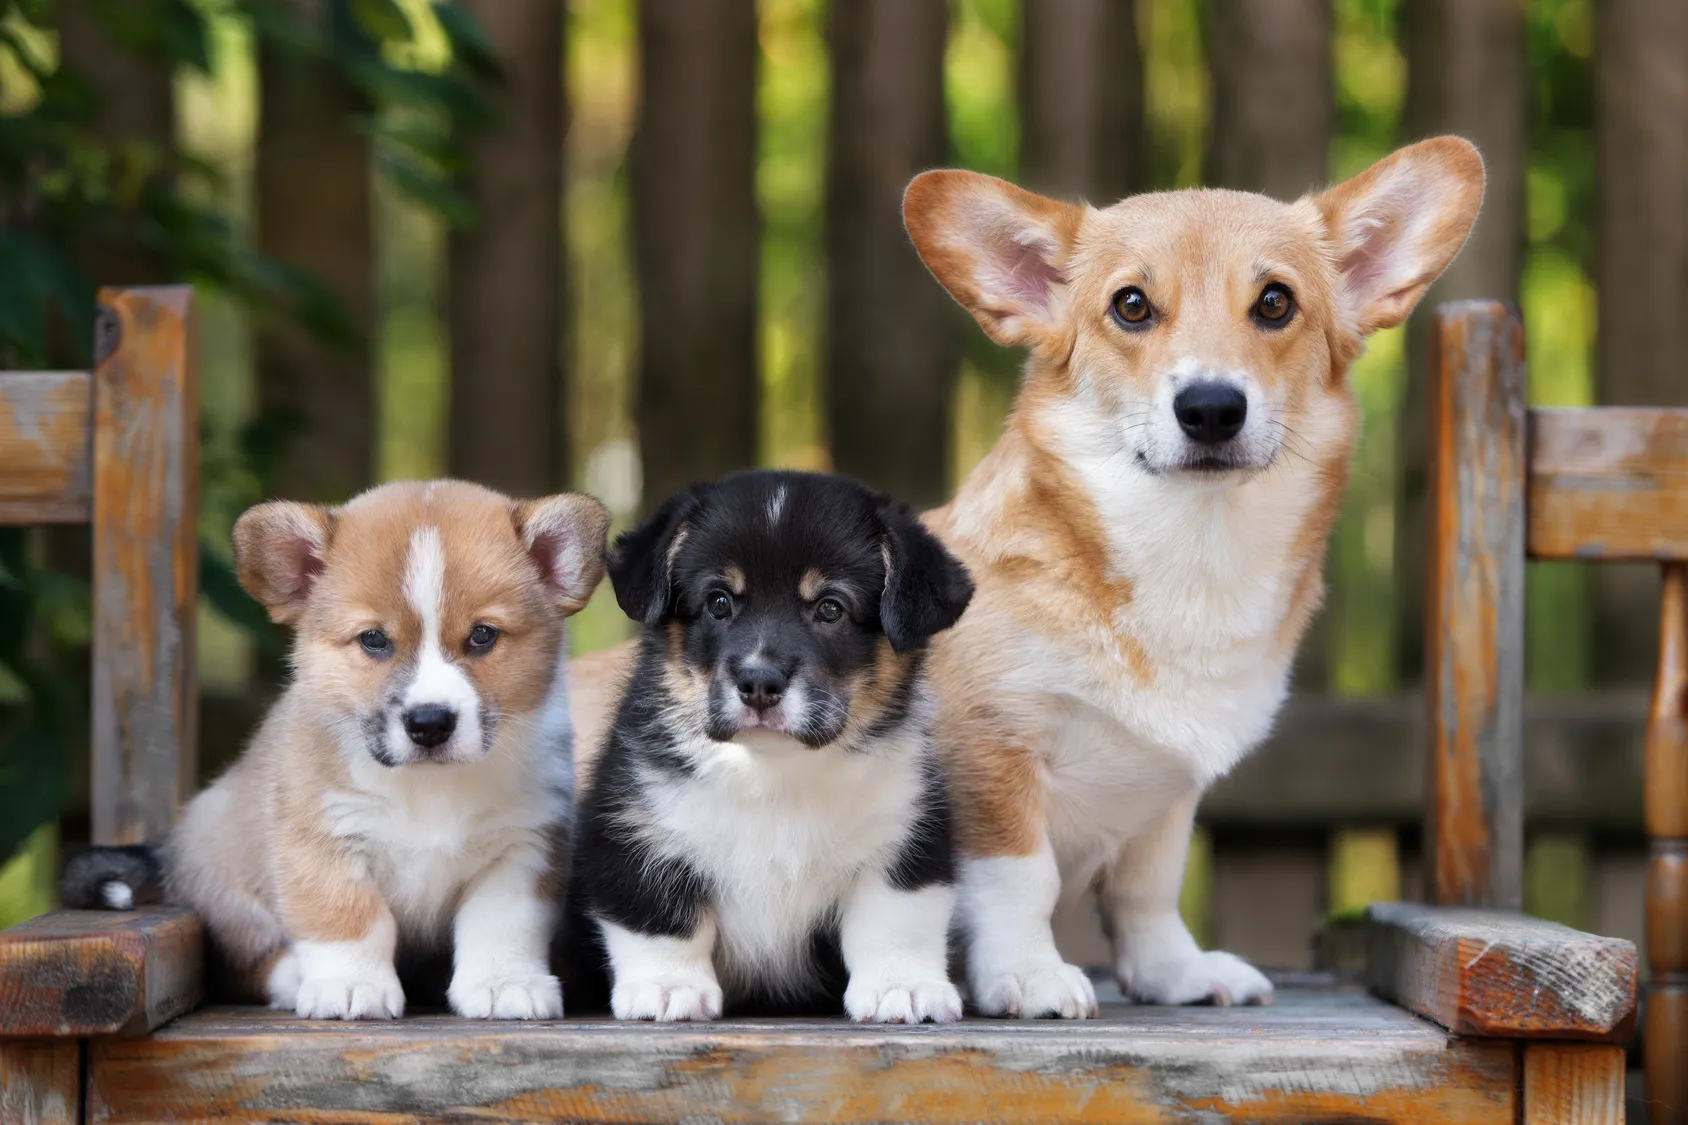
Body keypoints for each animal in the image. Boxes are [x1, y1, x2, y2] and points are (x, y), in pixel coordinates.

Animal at [62, 476, 611, 1020]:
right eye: (373, 639)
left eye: (482, 636)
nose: (429, 723)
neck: (427, 786)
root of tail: (171, 854)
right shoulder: (322, 841)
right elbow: (349, 918)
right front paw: (351, 986)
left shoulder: (522, 848)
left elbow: (501, 925)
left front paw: (503, 984)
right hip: (231, 886)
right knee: (245, 962)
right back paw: (293, 977)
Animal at [570, 469, 979, 1020]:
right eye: (719, 602)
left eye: (830, 608)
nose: (759, 682)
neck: (774, 772)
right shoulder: (634, 832)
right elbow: (661, 918)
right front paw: (668, 987)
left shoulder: (907, 838)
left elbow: (895, 921)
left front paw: (903, 987)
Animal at [891, 135, 1485, 1013]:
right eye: (1132, 306)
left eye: (1274, 302)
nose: (1210, 407)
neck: (1194, 555)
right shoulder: (991, 752)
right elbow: (1019, 878)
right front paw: (1027, 974)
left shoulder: (1167, 798)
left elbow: (1148, 891)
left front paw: (1174, 972)